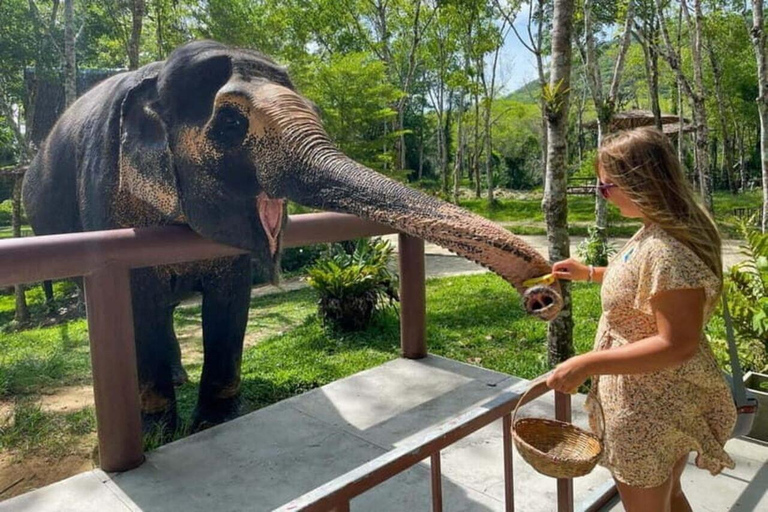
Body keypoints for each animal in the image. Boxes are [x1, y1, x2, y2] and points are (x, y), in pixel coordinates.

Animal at [23, 40, 562, 433]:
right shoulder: (103, 191)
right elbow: (135, 298)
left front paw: (214, 423)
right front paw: (160, 432)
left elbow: (231, 296)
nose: (543, 293)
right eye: (231, 122)